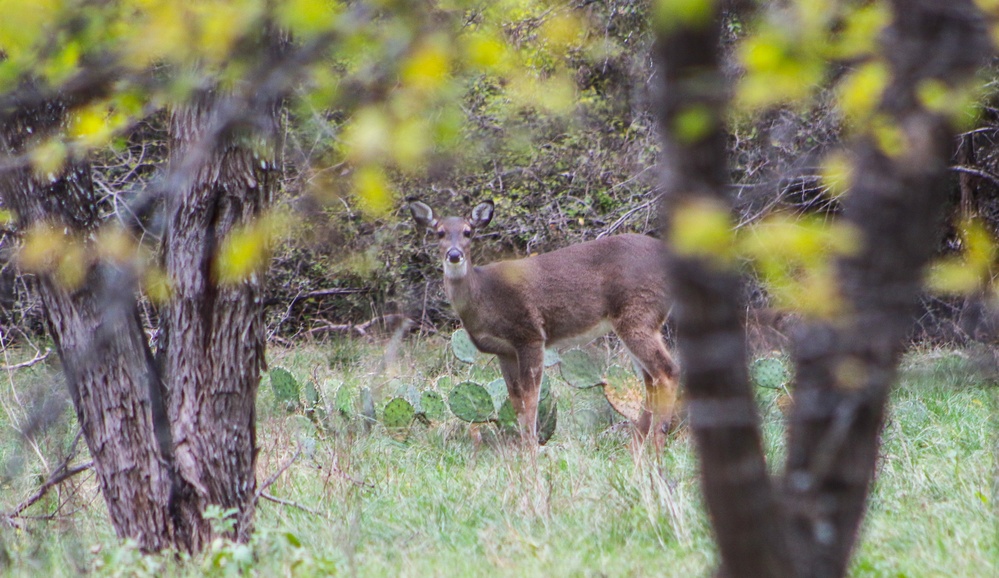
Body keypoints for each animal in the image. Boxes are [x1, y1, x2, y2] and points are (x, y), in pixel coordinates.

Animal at [410, 198, 684, 446]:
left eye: (468, 231)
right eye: (439, 232)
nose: (454, 254)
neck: (484, 296)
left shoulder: (529, 334)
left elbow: (531, 398)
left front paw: (531, 452)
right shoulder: (504, 351)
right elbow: (515, 400)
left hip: (639, 313)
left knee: (667, 371)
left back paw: (656, 447)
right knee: (650, 379)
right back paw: (638, 450)